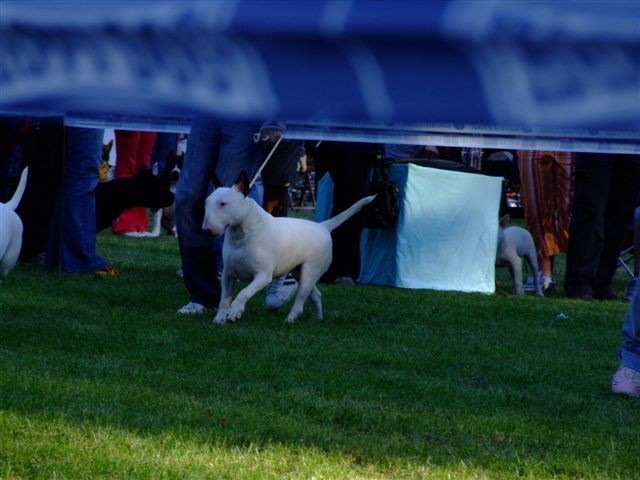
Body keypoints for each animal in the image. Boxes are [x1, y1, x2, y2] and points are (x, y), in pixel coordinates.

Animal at [204, 171, 376, 324]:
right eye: (206, 202)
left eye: (223, 204)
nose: (206, 230)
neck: (242, 235)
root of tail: (323, 226)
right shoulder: (228, 274)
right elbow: (224, 299)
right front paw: (219, 319)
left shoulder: (263, 276)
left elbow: (244, 292)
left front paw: (235, 311)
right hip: (300, 272)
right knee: (316, 295)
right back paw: (318, 319)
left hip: (310, 272)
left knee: (300, 301)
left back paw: (289, 320)